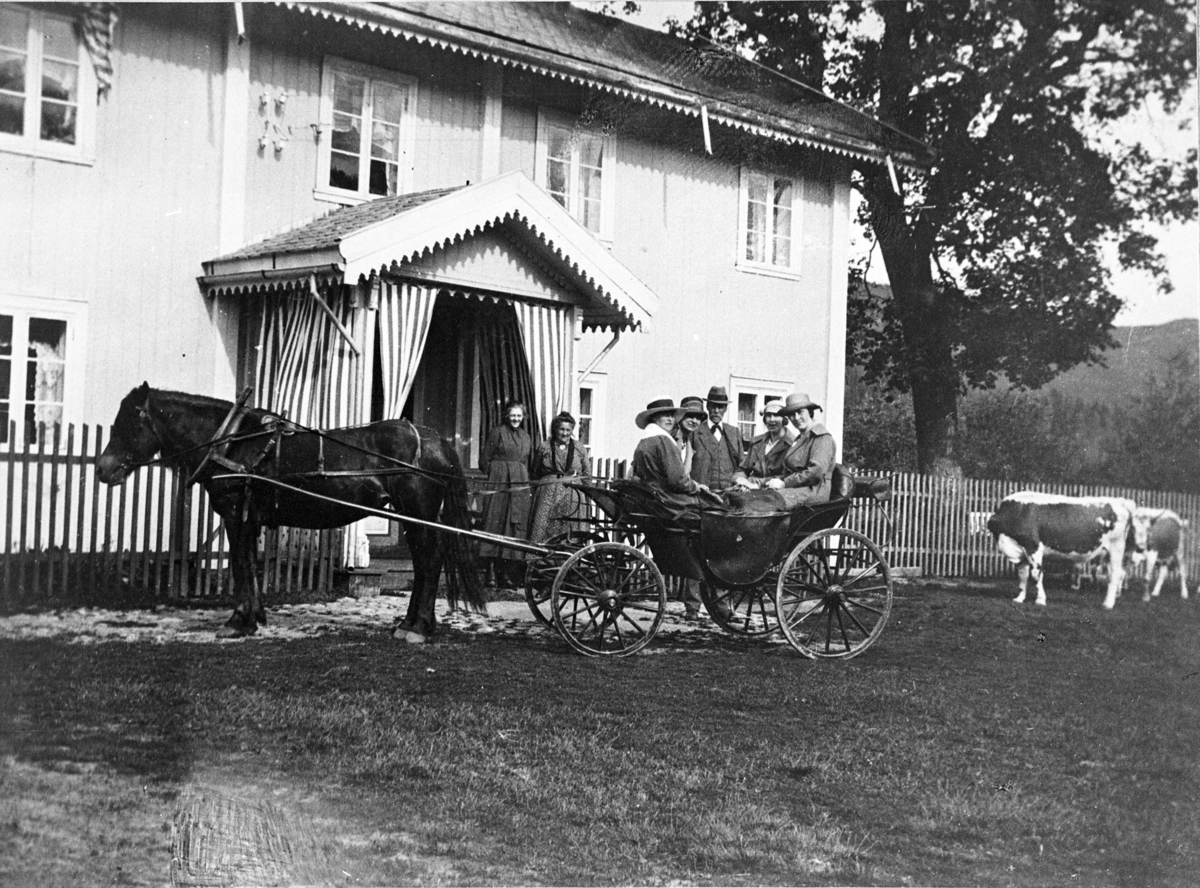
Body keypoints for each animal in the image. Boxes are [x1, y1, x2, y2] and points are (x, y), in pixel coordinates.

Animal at [94, 381, 482, 638]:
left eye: (130, 422)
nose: (102, 469)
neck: (232, 442)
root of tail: (436, 439)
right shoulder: (249, 519)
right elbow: (249, 565)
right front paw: (254, 617)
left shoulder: (236, 515)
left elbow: (240, 565)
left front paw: (239, 621)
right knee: (425, 562)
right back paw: (410, 623)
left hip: (417, 514)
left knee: (429, 560)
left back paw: (417, 627)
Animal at [984, 492, 1152, 609]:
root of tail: (1121, 502)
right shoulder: (1021, 550)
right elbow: (1023, 575)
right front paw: (1019, 598)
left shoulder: (1033, 546)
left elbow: (1036, 575)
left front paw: (1040, 600)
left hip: (1117, 548)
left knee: (1116, 574)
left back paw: (1108, 604)